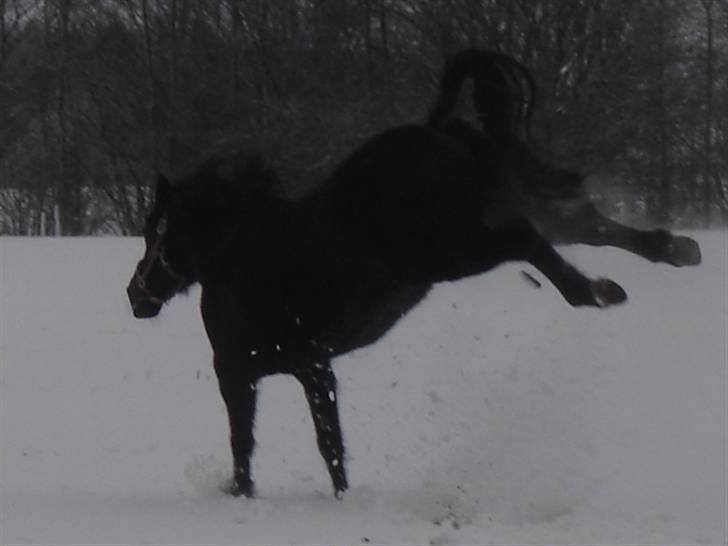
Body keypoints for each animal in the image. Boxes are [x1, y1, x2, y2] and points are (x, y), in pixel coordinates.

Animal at [126, 51, 700, 498]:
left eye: (155, 231)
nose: (136, 295)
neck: (233, 251)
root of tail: (436, 129)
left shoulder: (248, 371)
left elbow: (257, 444)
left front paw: (252, 496)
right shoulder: (313, 367)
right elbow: (328, 444)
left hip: (453, 251)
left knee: (527, 239)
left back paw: (594, 291)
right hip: (506, 209)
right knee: (588, 225)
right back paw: (672, 251)